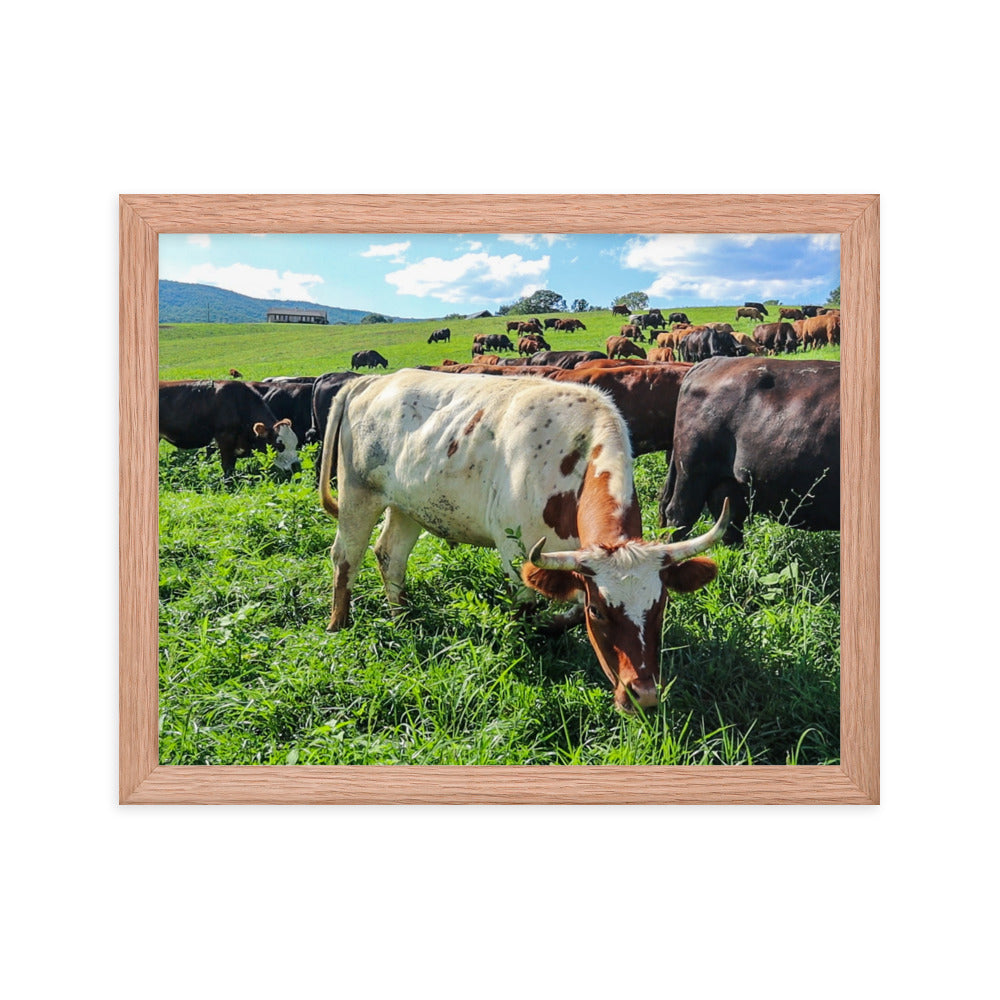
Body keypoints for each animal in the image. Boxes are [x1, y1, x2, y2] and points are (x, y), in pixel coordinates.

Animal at [319, 369, 728, 710]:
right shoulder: (516, 553)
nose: (643, 695)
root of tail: (371, 381)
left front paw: (552, 627)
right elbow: (527, 610)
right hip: (358, 496)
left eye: (661, 606)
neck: (574, 458)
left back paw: (402, 617)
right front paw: (528, 645)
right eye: (600, 612)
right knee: (345, 558)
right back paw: (339, 625)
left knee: (390, 556)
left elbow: (568, 610)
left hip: (407, 507)